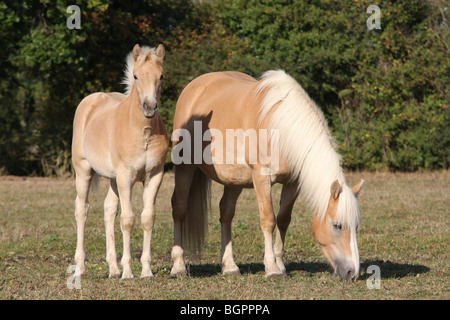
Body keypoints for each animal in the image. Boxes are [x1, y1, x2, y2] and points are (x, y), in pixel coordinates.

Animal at [72, 43, 169, 278]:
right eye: (135, 76)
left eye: (161, 76)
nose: (149, 107)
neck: (142, 131)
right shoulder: (127, 177)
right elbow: (128, 220)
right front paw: (128, 272)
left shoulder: (155, 176)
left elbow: (147, 219)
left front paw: (146, 271)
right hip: (84, 171)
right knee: (82, 209)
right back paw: (80, 268)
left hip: (113, 179)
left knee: (109, 210)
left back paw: (113, 269)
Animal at [171, 69, 364, 280]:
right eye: (337, 225)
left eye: (356, 226)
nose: (352, 273)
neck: (281, 129)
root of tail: (193, 87)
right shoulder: (261, 179)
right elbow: (269, 220)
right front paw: (272, 268)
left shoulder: (292, 183)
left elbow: (283, 219)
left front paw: (280, 265)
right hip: (185, 167)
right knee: (179, 208)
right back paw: (178, 266)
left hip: (235, 179)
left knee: (226, 213)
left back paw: (229, 266)